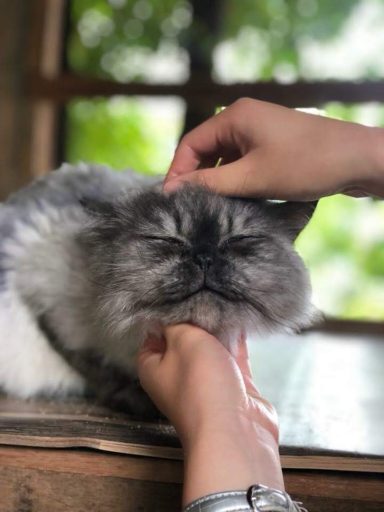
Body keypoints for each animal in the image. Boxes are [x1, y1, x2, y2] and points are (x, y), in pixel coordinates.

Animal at [0, 163, 318, 416]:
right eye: (167, 240)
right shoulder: (50, 313)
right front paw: (139, 401)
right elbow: (100, 369)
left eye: (239, 239)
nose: (204, 257)